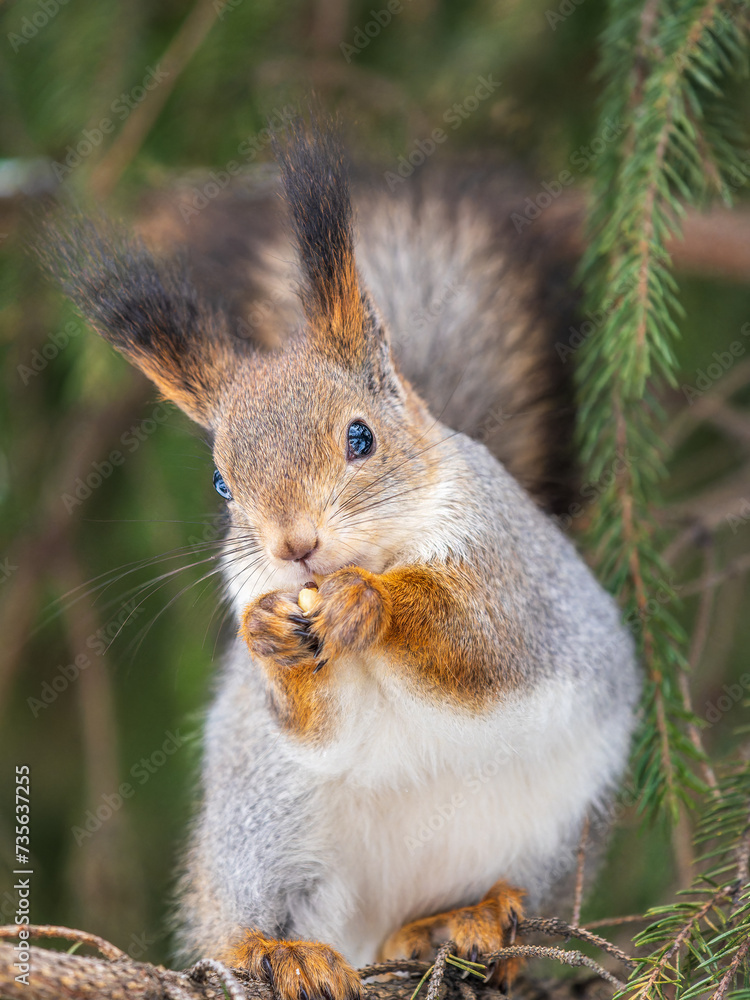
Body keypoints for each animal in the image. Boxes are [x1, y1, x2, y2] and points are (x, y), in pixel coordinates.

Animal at [41, 116, 640, 999]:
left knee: (497, 893)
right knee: (244, 920)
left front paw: (373, 601)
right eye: (221, 482)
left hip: (552, 829)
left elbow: (485, 646)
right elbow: (319, 725)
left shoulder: (516, 579)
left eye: (361, 438)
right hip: (265, 828)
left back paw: (460, 919)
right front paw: (268, 634)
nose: (296, 546)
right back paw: (277, 950)